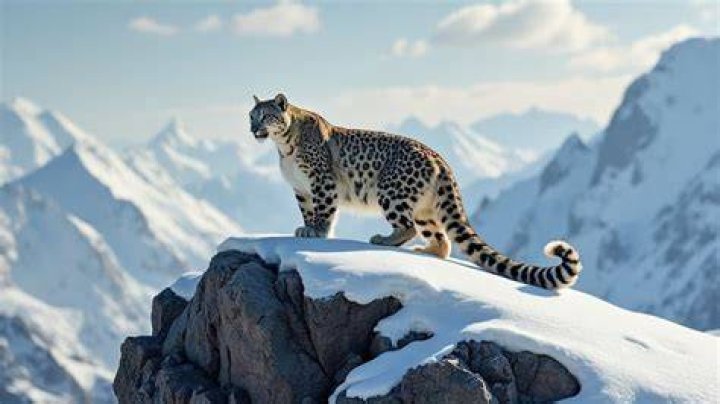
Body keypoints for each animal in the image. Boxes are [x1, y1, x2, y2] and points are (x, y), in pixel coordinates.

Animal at [248, 93, 582, 289]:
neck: (283, 147)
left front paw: (317, 232)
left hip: (391, 192)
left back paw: (385, 239)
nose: (253, 129)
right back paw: (426, 250)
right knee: (442, 238)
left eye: (265, 115)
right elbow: (308, 211)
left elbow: (324, 211)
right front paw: (305, 228)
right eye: (250, 115)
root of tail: (440, 159)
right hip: (424, 209)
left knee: (406, 225)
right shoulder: (301, 189)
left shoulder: (321, 183)